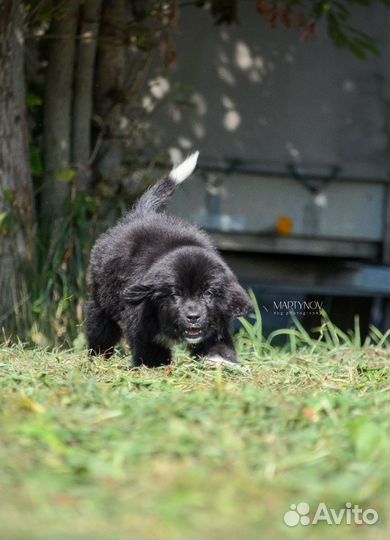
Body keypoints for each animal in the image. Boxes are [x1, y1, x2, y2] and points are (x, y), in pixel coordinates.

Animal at [85, 152, 251, 368]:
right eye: (175, 295)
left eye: (208, 293)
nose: (193, 317)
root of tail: (141, 214)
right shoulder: (141, 322)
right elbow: (150, 348)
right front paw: (156, 366)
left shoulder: (217, 322)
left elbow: (218, 345)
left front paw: (221, 362)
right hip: (101, 300)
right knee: (100, 329)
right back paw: (98, 356)